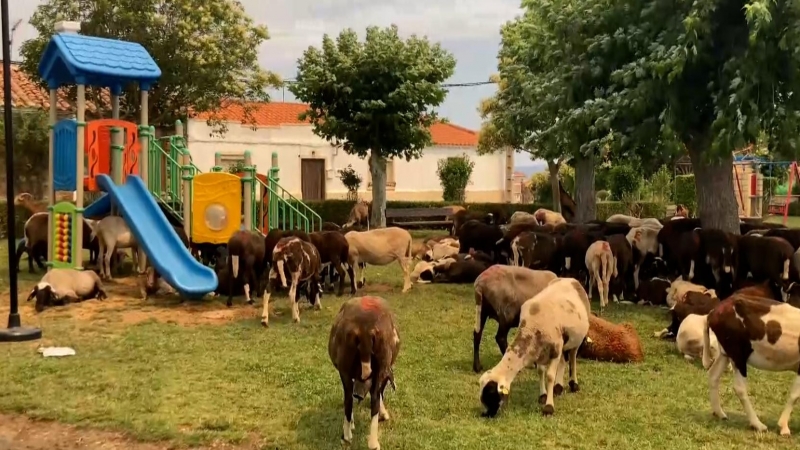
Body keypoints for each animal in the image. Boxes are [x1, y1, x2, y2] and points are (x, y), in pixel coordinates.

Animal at [326, 296, 398, 450]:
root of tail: (365, 330)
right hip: (379, 366)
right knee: (373, 399)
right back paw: (372, 442)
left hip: (345, 369)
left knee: (348, 398)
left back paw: (347, 435)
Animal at [478, 278, 592, 418]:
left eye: (491, 393)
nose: (486, 414)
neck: (531, 327)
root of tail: (571, 279)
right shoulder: (540, 350)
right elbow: (540, 371)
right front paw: (543, 395)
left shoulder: (555, 349)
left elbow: (549, 376)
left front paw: (549, 407)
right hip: (562, 343)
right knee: (563, 360)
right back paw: (558, 387)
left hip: (577, 339)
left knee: (572, 358)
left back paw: (574, 384)